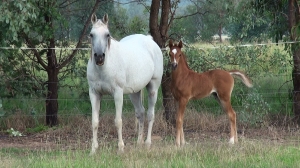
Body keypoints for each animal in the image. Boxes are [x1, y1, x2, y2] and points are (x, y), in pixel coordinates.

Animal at [86, 13, 164, 154]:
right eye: (91, 34)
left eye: (107, 34)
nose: (99, 57)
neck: (104, 68)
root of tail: (149, 40)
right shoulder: (94, 93)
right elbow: (94, 122)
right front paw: (93, 150)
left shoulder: (117, 93)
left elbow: (118, 121)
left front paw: (121, 148)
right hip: (134, 92)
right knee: (140, 113)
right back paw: (138, 143)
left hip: (153, 88)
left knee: (150, 114)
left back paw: (147, 143)